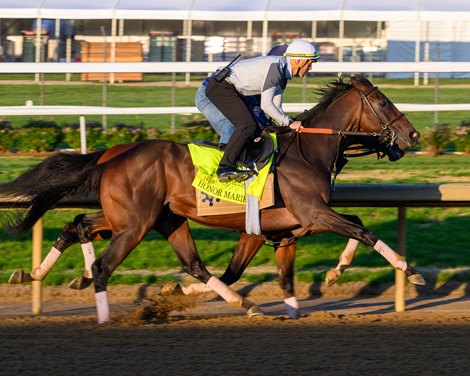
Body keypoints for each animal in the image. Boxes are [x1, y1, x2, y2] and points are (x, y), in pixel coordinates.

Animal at [0, 75, 422, 324]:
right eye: (383, 103)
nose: (413, 136)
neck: (308, 151)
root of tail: (113, 156)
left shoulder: (280, 231)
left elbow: (271, 274)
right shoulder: (312, 213)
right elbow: (361, 229)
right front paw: (406, 267)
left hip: (153, 218)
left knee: (85, 228)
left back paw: (38, 273)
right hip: (135, 224)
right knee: (104, 260)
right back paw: (100, 307)